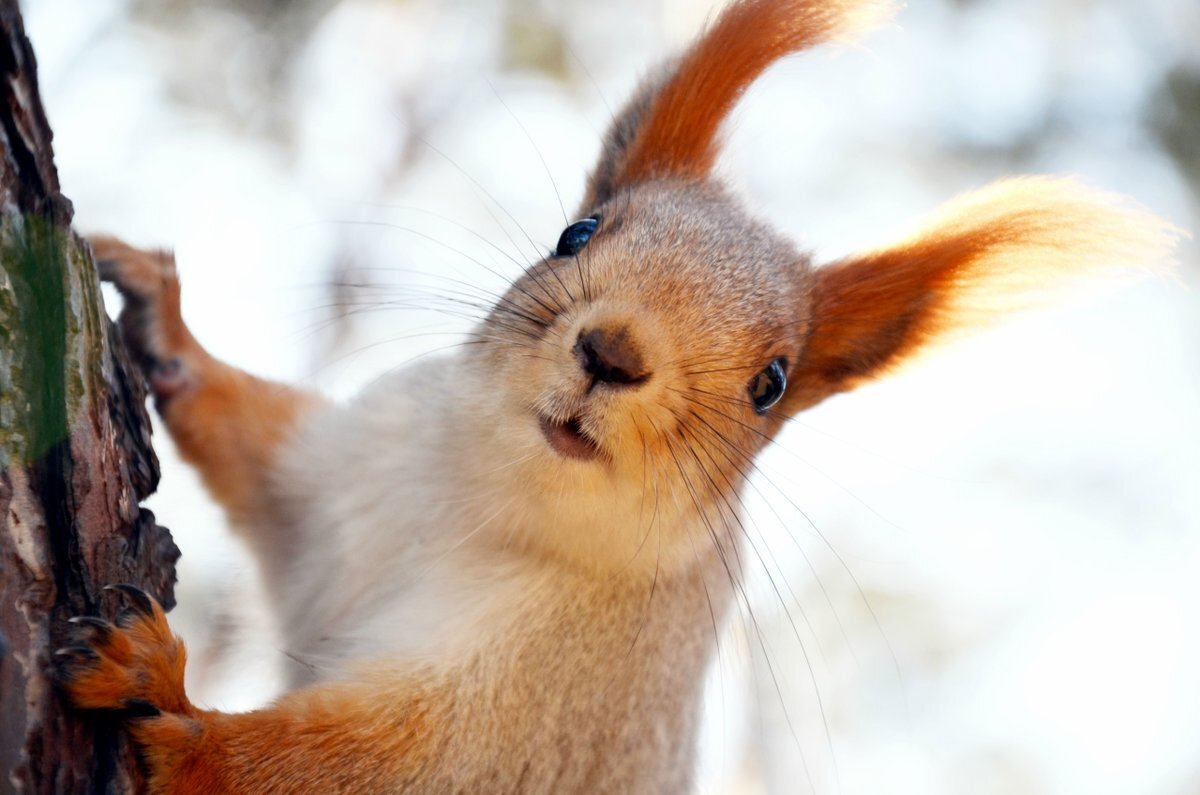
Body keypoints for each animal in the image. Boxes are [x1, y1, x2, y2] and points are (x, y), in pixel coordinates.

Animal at [56, 0, 1171, 792]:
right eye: (577, 233)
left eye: (770, 385)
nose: (614, 351)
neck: (481, 500)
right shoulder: (346, 479)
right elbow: (260, 458)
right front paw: (165, 329)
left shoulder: (552, 705)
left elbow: (365, 767)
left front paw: (169, 706)